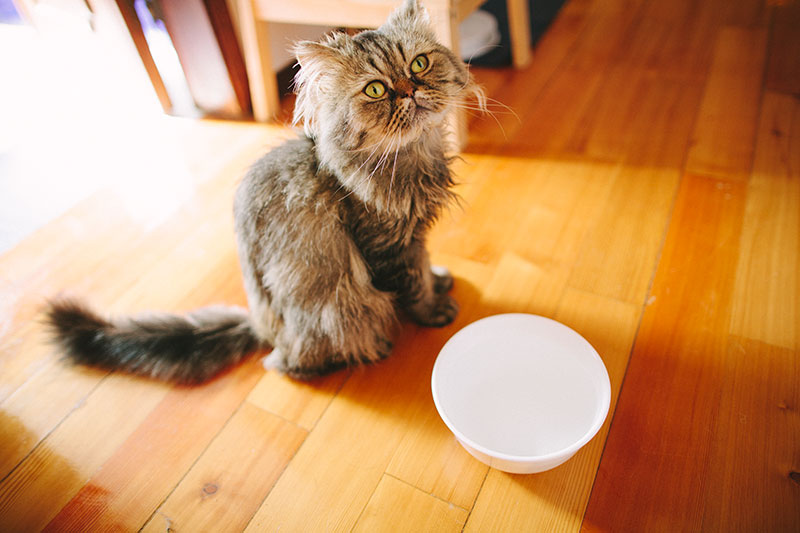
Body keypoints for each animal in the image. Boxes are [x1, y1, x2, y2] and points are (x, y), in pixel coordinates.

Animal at [47, 0, 484, 382]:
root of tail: (262, 329)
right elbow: (413, 286)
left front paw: (439, 278)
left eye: (419, 64)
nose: (409, 90)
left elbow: (424, 266)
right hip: (339, 309)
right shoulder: (387, 247)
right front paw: (434, 311)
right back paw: (367, 350)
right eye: (375, 90)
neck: (414, 155)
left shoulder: (414, 237)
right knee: (286, 366)